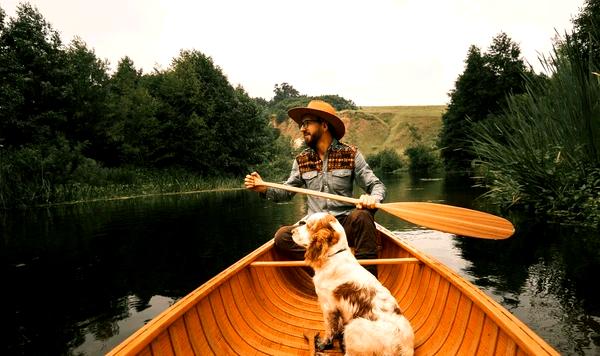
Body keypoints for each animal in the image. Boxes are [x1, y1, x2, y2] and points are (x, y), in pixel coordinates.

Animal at [292, 213, 414, 354]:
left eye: (308, 225)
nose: (292, 231)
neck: (334, 255)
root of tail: (404, 347)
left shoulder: (328, 306)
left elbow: (329, 329)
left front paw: (323, 344)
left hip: (354, 325)